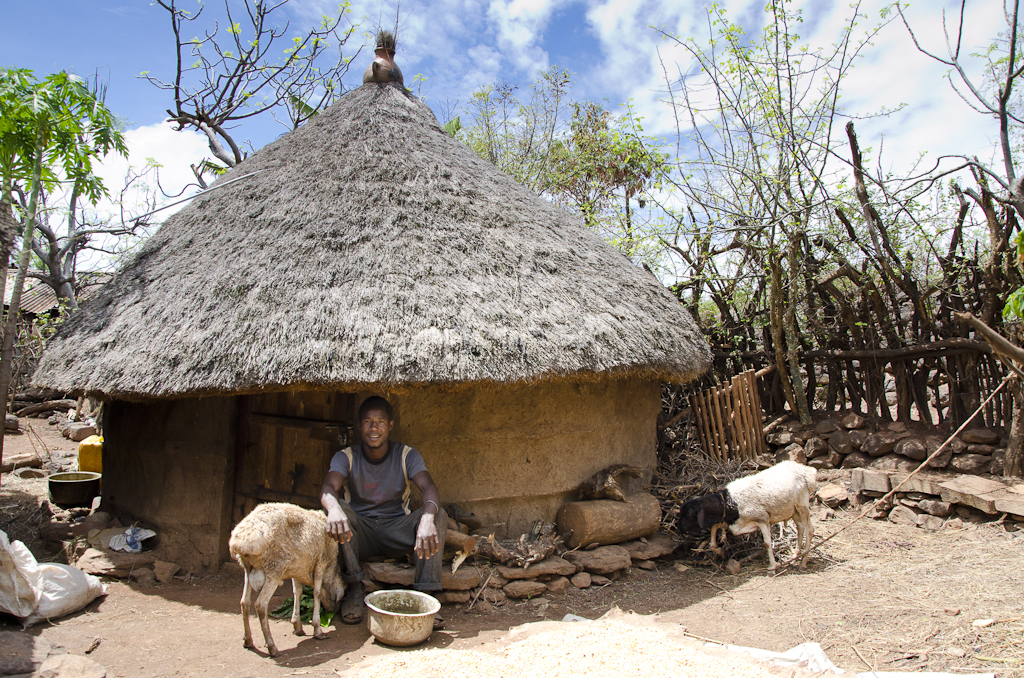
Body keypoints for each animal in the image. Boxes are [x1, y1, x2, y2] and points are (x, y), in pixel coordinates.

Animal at [227, 503, 346, 659]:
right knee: (260, 605)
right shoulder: (320, 562)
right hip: (275, 567)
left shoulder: (297, 569)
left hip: (247, 568)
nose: (333, 610)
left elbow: (297, 592)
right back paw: (272, 647)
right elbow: (317, 593)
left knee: (244, 602)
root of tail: (242, 539)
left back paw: (248, 641)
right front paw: (317, 629)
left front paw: (297, 625)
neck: (331, 569)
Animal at [675, 462, 819, 569]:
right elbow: (718, 528)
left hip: (802, 503)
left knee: (809, 530)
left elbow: (767, 543)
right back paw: (795, 556)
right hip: (793, 509)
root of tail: (808, 471)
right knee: (800, 528)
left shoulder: (762, 518)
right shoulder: (734, 522)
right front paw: (718, 549)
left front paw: (772, 566)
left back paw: (803, 562)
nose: (679, 529)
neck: (729, 502)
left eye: (689, 514)